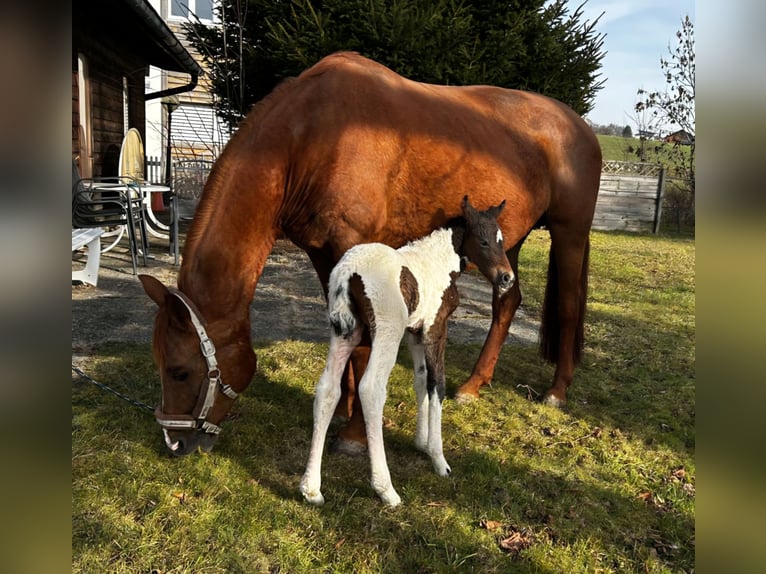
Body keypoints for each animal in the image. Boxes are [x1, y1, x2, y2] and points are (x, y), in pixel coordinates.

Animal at [140, 51, 601, 456]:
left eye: (179, 370)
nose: (175, 443)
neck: (312, 137)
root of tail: (581, 127)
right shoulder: (325, 256)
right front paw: (344, 412)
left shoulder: (357, 252)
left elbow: (364, 345)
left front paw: (355, 435)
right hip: (506, 243)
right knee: (507, 301)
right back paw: (473, 384)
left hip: (569, 234)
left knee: (567, 304)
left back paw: (557, 391)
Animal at [300, 196, 513, 506]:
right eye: (483, 241)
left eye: (501, 240)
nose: (507, 278)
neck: (437, 261)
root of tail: (349, 272)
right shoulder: (436, 328)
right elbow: (438, 384)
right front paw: (438, 459)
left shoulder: (415, 332)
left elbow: (421, 380)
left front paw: (421, 442)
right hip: (387, 333)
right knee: (372, 389)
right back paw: (386, 490)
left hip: (345, 334)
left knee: (327, 388)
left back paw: (311, 489)